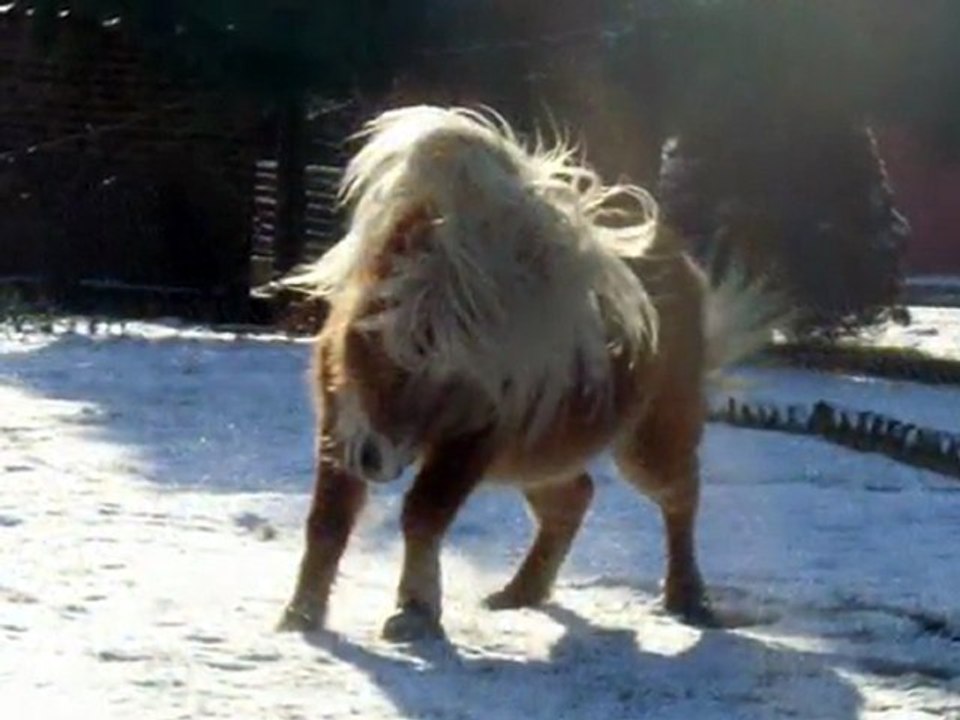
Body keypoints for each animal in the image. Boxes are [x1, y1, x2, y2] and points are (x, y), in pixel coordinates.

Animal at [276, 105, 786, 642]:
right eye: (360, 341)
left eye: (433, 367)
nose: (371, 458)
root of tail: (683, 262)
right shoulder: (339, 423)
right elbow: (327, 520)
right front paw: (301, 615)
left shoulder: (473, 437)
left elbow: (424, 513)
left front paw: (414, 613)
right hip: (534, 452)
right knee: (574, 497)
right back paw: (520, 592)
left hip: (647, 439)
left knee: (679, 494)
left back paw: (688, 599)